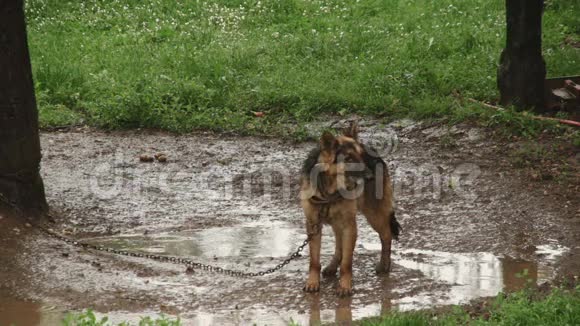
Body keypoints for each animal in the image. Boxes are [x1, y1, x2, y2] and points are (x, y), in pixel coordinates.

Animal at [300, 121, 398, 296]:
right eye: (349, 158)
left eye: (361, 156)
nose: (371, 177)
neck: (329, 192)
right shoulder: (313, 224)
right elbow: (314, 259)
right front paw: (312, 282)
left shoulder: (350, 225)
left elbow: (347, 262)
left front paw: (345, 286)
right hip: (339, 222)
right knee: (339, 245)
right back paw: (332, 266)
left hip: (374, 215)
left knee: (386, 236)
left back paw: (384, 265)